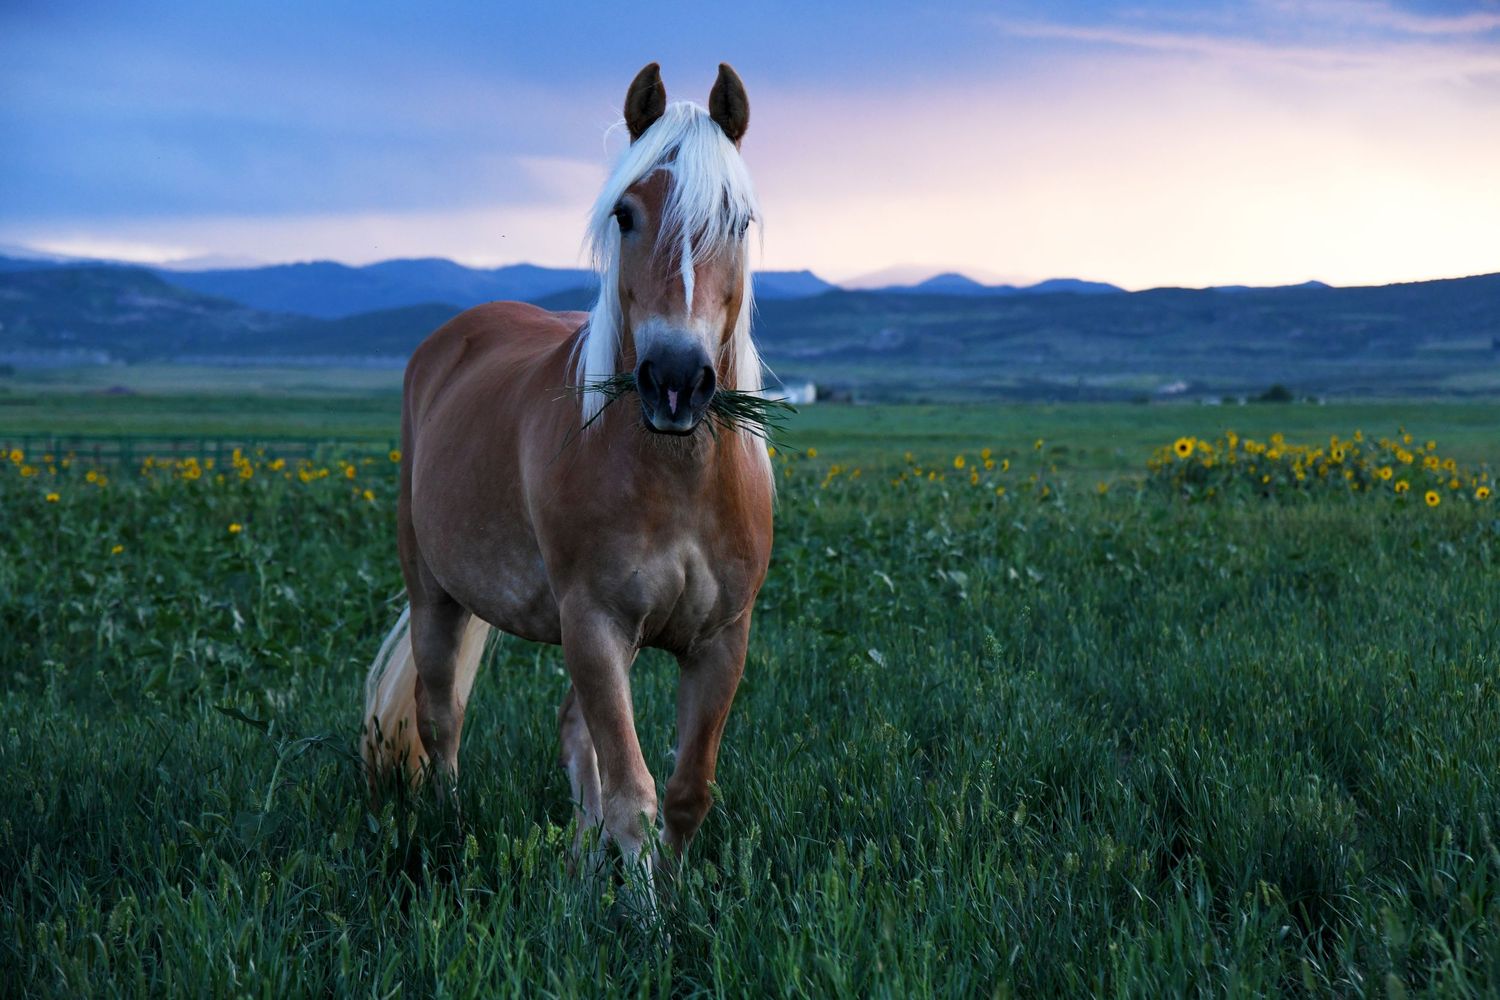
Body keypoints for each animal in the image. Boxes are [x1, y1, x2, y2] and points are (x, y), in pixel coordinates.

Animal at [362, 62, 773, 888]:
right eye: (625, 213)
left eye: (738, 219)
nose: (674, 379)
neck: (676, 478)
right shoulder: (593, 624)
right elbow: (632, 797)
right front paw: (643, 911)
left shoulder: (720, 640)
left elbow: (684, 791)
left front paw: (666, 895)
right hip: (435, 592)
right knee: (440, 716)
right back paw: (451, 826)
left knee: (570, 732)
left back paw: (579, 860)